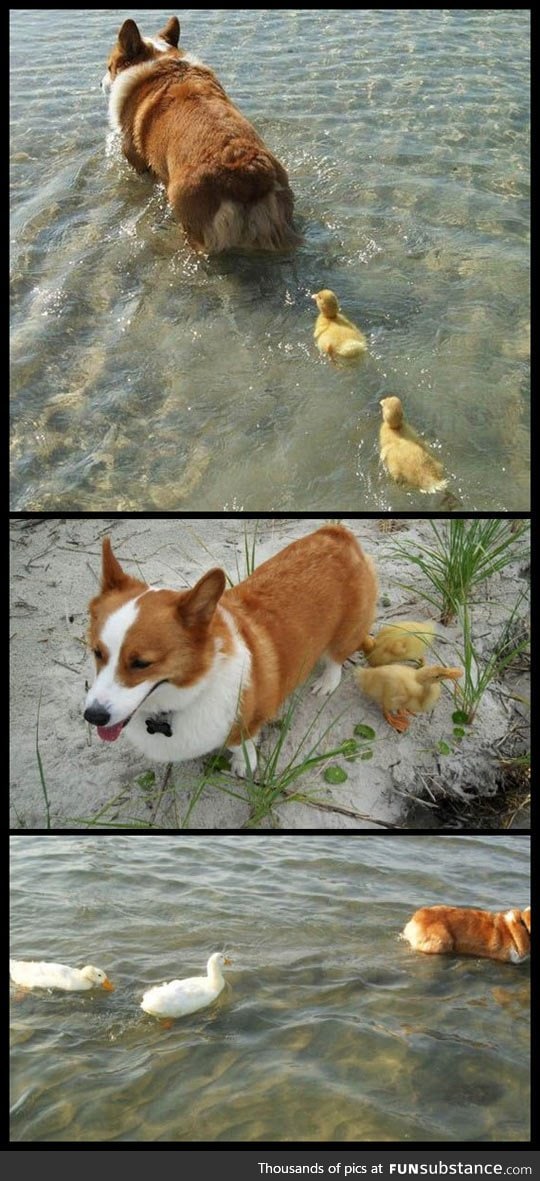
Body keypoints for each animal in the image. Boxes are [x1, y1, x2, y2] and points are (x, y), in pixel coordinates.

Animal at [83, 526, 375, 774]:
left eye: (141, 663)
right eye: (97, 652)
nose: (93, 717)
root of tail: (336, 533)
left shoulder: (246, 723)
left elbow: (240, 745)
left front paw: (244, 765)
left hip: (348, 631)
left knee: (336, 658)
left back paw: (327, 682)